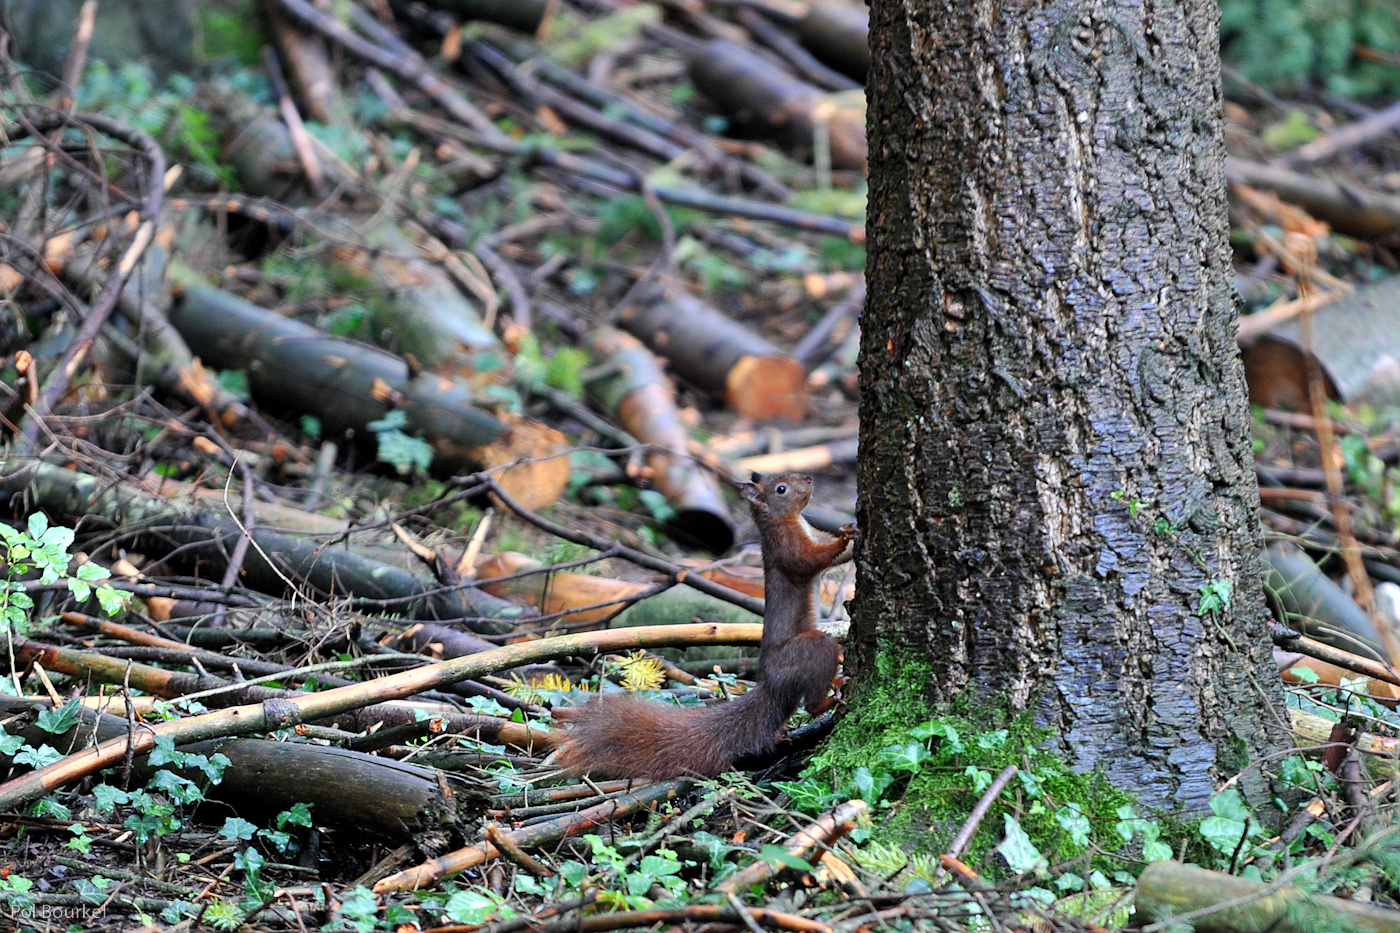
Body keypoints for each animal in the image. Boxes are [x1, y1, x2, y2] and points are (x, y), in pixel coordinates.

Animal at [554, 473, 851, 778]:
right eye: (781, 489)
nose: (810, 478)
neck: (791, 520)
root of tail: (770, 687)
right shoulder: (785, 545)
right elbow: (806, 560)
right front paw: (843, 539)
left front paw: (850, 534)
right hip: (806, 651)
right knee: (811, 702)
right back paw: (831, 696)